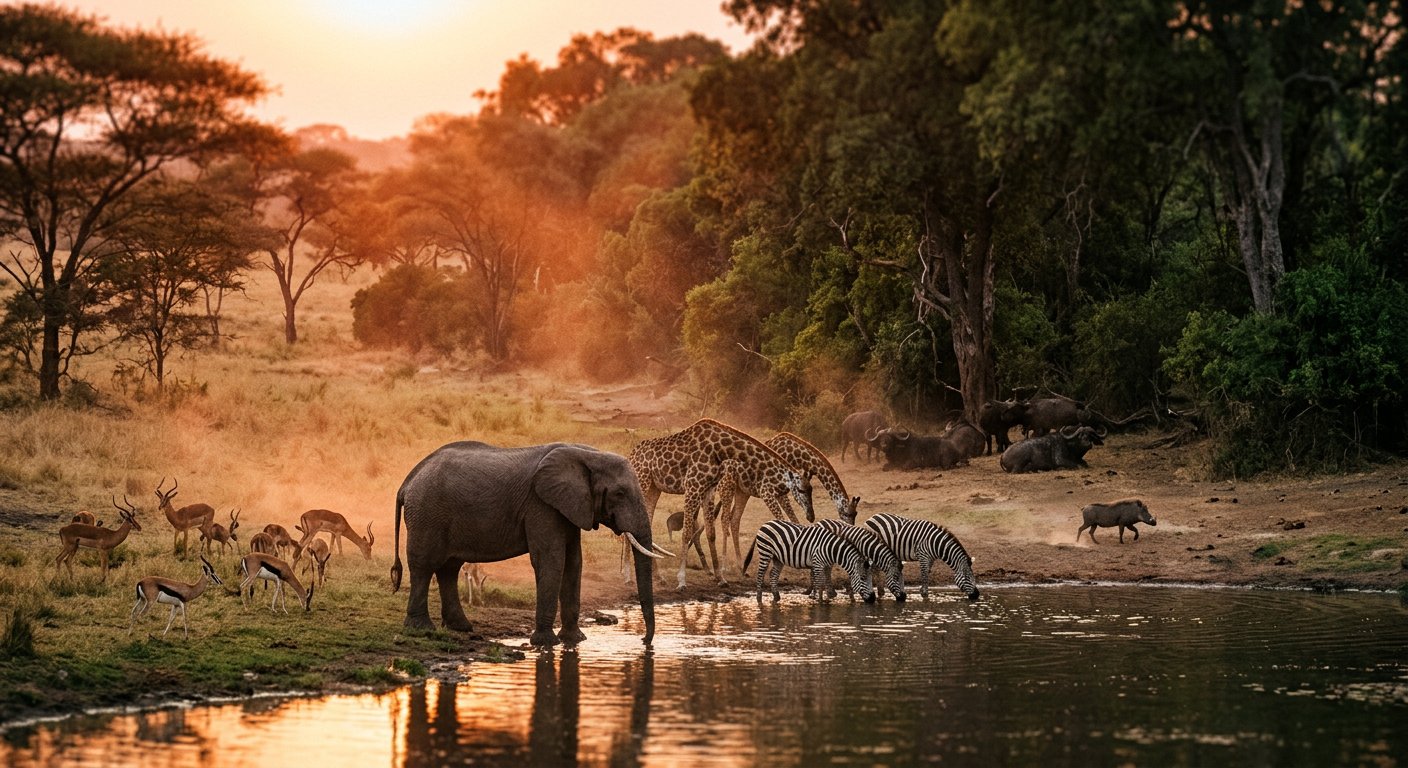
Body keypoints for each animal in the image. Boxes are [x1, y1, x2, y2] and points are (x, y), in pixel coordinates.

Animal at [628, 418, 815, 589]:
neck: (721, 449)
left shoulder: (708, 489)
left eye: (810, 489)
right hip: (643, 483)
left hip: (654, 488)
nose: (811, 515)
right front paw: (681, 580)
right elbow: (687, 533)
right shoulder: (692, 486)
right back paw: (628, 577)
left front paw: (720, 578)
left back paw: (656, 576)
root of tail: (631, 455)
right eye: (801, 490)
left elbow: (711, 533)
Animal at [714, 432, 860, 569]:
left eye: (855, 514)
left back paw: (739, 562)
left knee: (734, 519)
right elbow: (785, 520)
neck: (797, 456)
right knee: (723, 518)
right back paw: (723, 565)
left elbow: (793, 519)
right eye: (847, 514)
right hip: (727, 486)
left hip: (742, 491)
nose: (850, 531)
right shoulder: (778, 490)